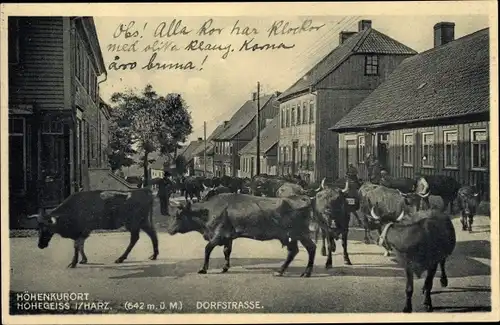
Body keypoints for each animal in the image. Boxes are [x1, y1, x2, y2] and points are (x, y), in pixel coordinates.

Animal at [26, 187, 158, 268]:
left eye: (47, 229)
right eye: (38, 228)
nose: (40, 245)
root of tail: (143, 190)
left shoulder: (82, 231)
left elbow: (77, 245)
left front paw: (73, 263)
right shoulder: (83, 232)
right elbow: (80, 245)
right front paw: (83, 260)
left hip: (134, 223)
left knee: (135, 238)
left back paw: (121, 258)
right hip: (143, 222)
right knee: (152, 234)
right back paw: (154, 255)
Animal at [168, 192, 316, 276]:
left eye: (178, 215)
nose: (169, 230)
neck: (208, 211)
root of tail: (302, 198)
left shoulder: (219, 235)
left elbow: (207, 249)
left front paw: (203, 269)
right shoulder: (228, 237)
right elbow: (227, 251)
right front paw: (225, 267)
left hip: (297, 234)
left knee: (307, 249)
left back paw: (299, 272)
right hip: (293, 236)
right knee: (297, 251)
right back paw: (288, 271)